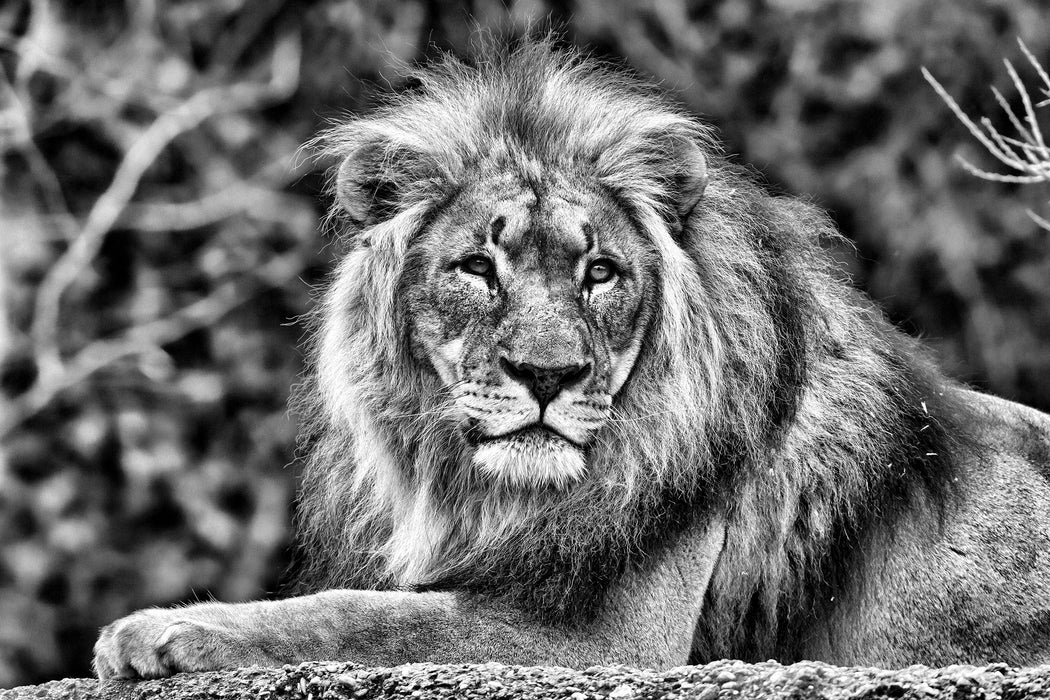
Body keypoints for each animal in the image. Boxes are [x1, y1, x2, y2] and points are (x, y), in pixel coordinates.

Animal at [92, 39, 1050, 680]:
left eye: (600, 272)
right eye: (479, 267)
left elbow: (363, 617)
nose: (548, 378)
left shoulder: (606, 641)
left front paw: (165, 631)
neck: (485, 494)